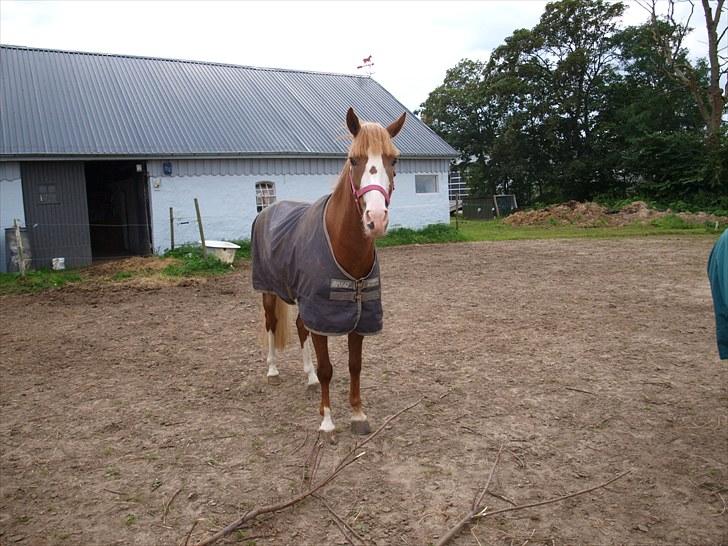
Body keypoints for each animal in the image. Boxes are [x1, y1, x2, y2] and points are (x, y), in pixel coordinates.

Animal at [251, 107, 406, 437]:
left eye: (394, 159)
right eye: (353, 159)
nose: (376, 219)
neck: (344, 247)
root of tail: (268, 209)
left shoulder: (358, 317)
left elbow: (354, 365)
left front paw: (358, 415)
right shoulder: (323, 316)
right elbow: (327, 369)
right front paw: (327, 421)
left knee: (300, 326)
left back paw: (307, 377)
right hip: (267, 290)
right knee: (271, 324)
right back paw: (272, 370)